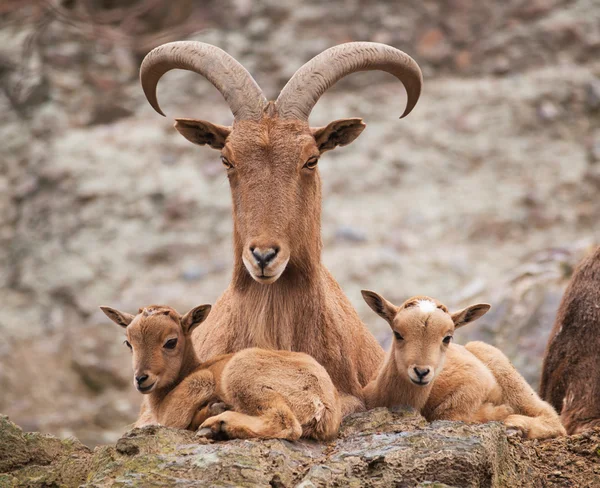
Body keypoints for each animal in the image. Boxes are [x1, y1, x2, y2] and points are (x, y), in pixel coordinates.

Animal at [101, 304, 340, 440]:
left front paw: (211, 411)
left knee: (286, 423)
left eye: (170, 342)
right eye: (128, 343)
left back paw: (219, 424)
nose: (141, 378)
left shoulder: (196, 385)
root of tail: (321, 402)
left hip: (243, 375)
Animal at [360, 292, 568, 440]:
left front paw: (502, 413)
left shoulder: (473, 385)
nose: (421, 372)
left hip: (506, 372)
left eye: (447, 337)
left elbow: (451, 414)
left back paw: (516, 424)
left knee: (551, 417)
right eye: (398, 333)